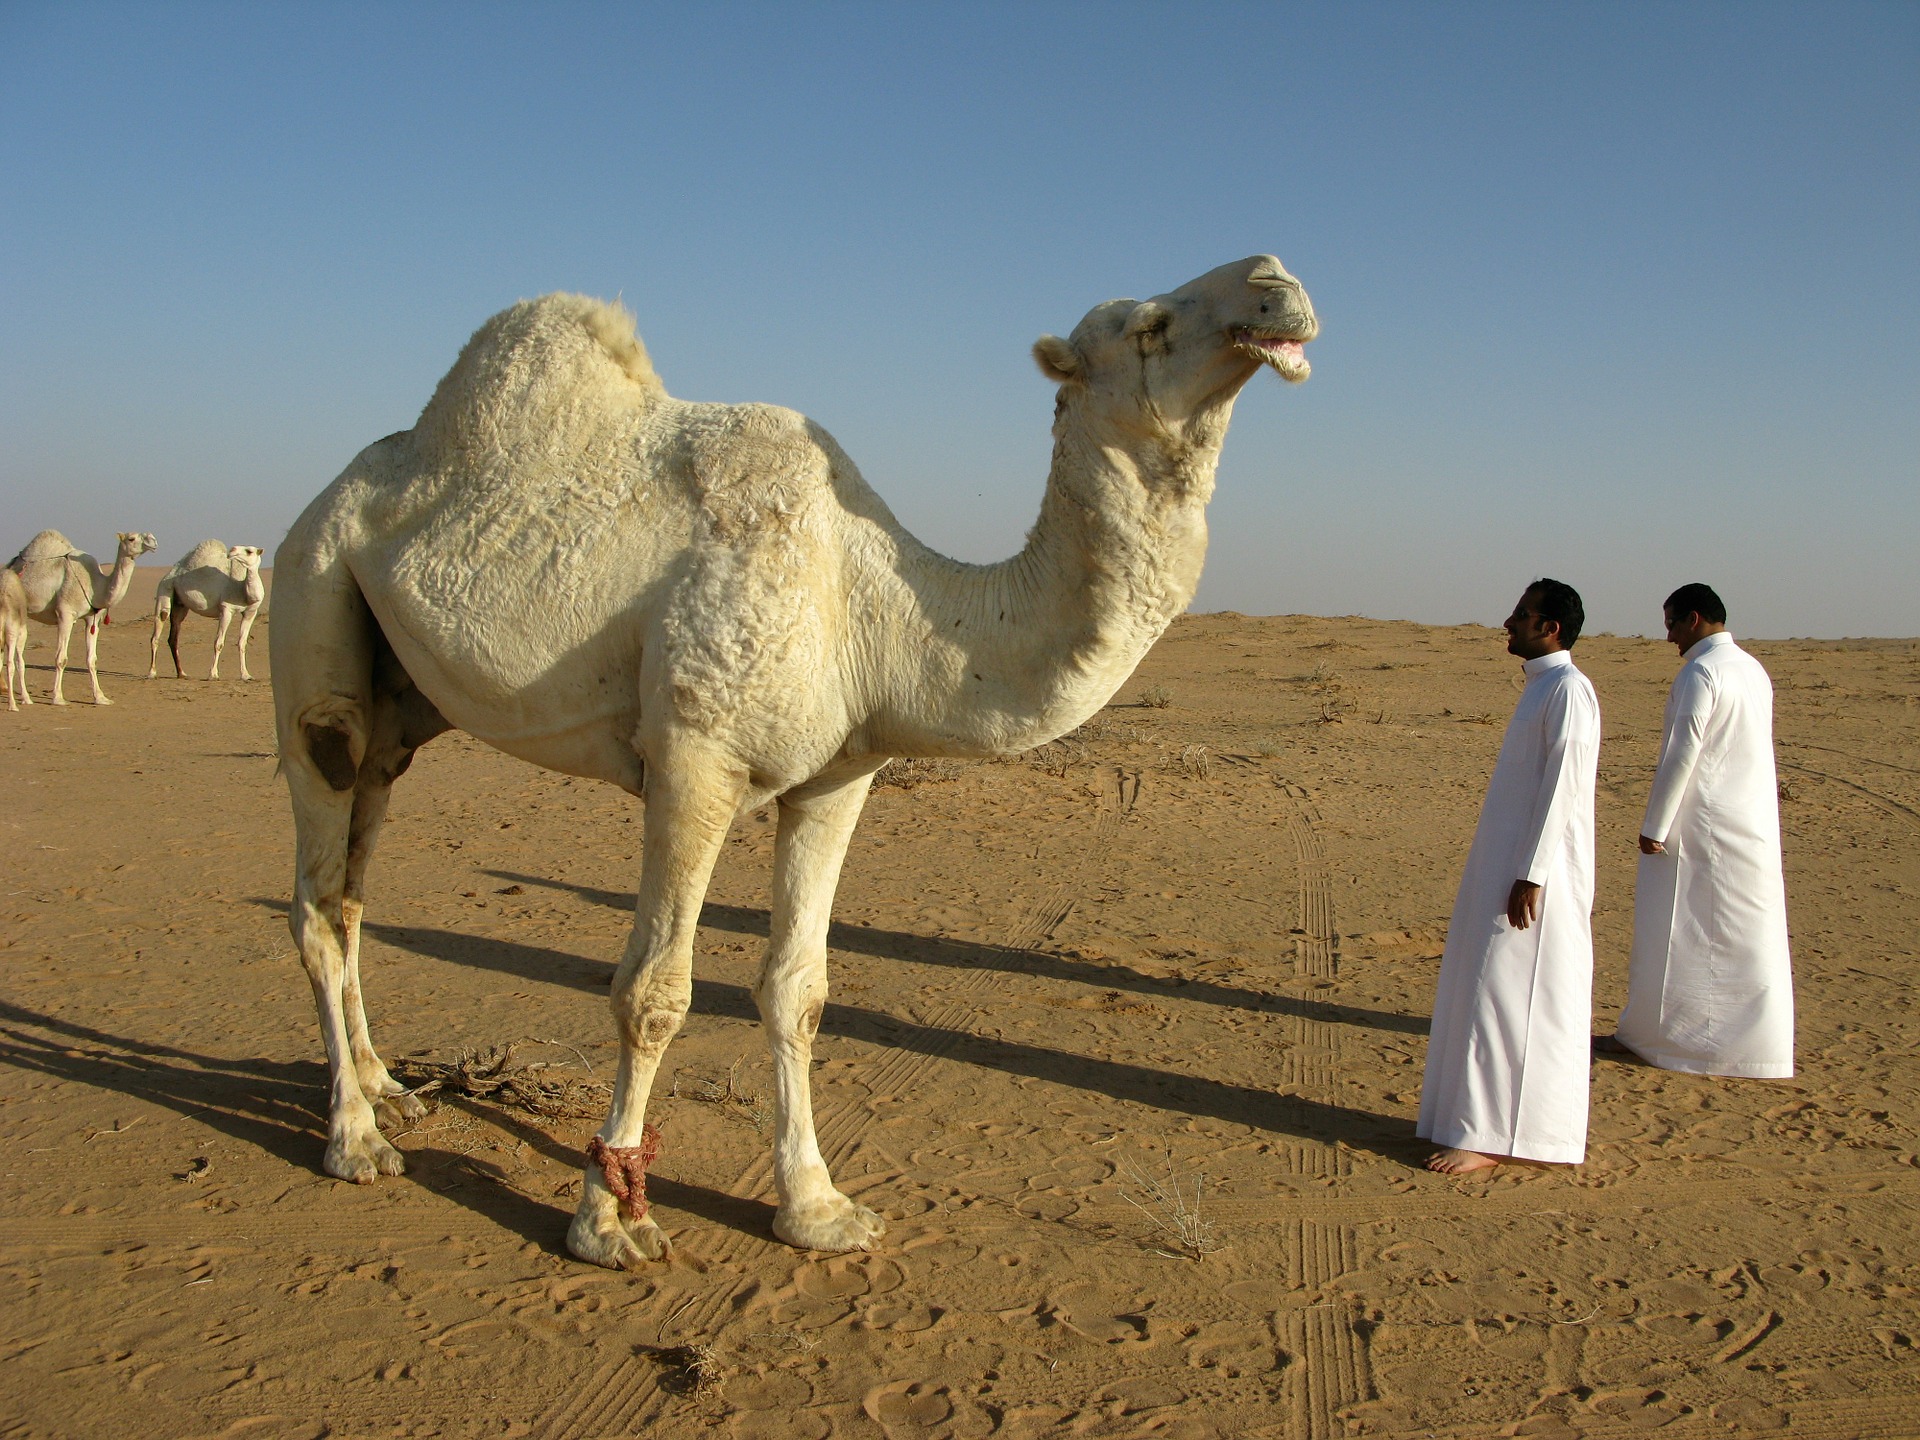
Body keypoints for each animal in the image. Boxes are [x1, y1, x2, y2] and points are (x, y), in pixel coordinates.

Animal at [7, 529, 157, 710]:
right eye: (132, 538)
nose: (153, 541)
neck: (97, 585)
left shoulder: (93, 619)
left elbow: (92, 659)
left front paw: (101, 698)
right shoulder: (65, 614)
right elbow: (61, 658)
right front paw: (58, 698)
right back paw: (24, 697)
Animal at [149, 541, 266, 683]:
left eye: (249, 551)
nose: (232, 550)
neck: (242, 589)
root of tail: (170, 574)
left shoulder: (251, 612)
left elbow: (242, 643)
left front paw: (246, 675)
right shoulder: (226, 610)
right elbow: (219, 643)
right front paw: (213, 674)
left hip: (180, 604)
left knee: (173, 636)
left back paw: (182, 673)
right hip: (164, 589)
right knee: (158, 627)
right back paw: (152, 673)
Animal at [270, 259, 1313, 1274]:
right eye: (1148, 326)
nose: (1276, 284)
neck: (879, 606)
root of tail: (325, 497)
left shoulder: (839, 777)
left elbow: (798, 991)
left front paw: (817, 1208)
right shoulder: (693, 759)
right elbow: (654, 994)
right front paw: (609, 1221)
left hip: (401, 704)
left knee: (355, 882)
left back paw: (387, 1085)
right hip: (312, 598)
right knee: (318, 888)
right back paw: (356, 1139)